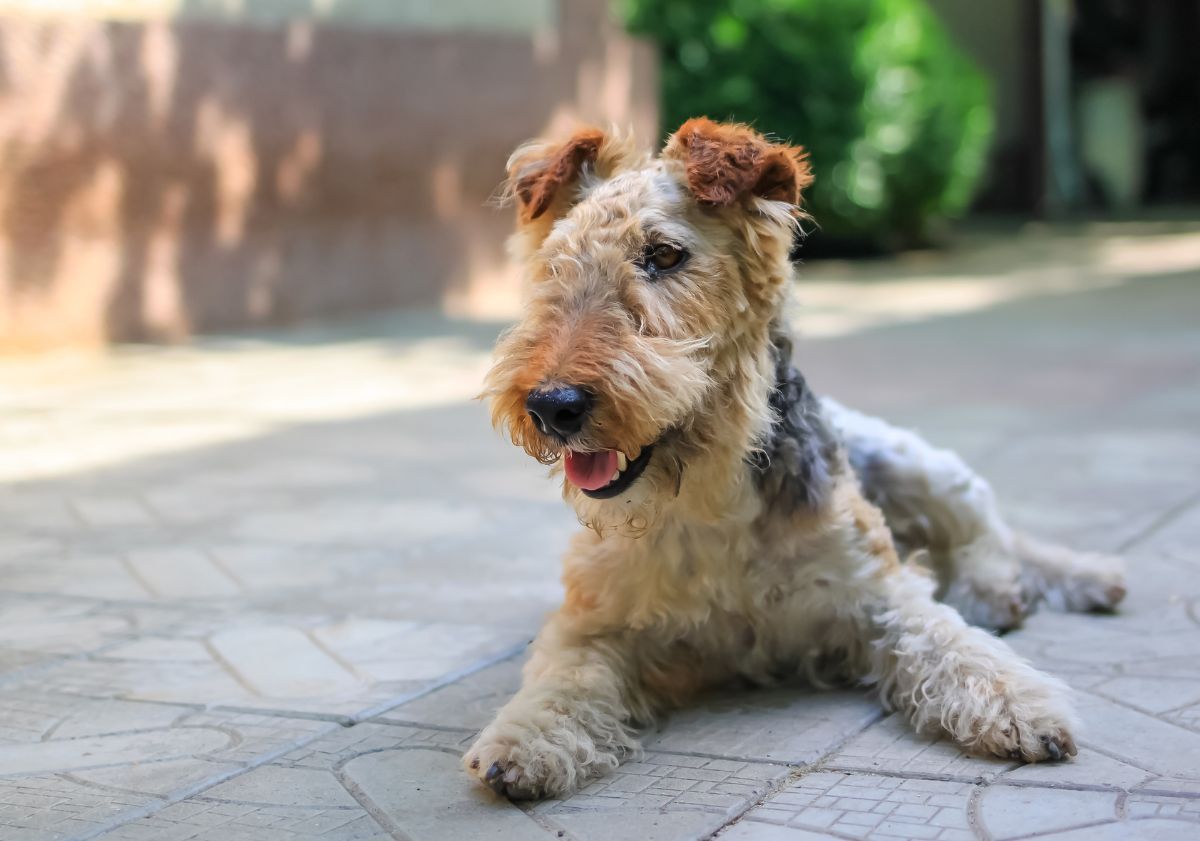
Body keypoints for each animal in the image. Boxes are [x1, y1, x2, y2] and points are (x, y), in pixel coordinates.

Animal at [465, 119, 1123, 801]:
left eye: (665, 255)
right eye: (554, 262)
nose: (552, 405)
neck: (709, 497)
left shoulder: (879, 591)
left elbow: (949, 639)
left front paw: (1022, 706)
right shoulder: (595, 618)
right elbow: (564, 676)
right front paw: (525, 742)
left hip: (921, 468)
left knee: (993, 535)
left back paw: (1019, 587)